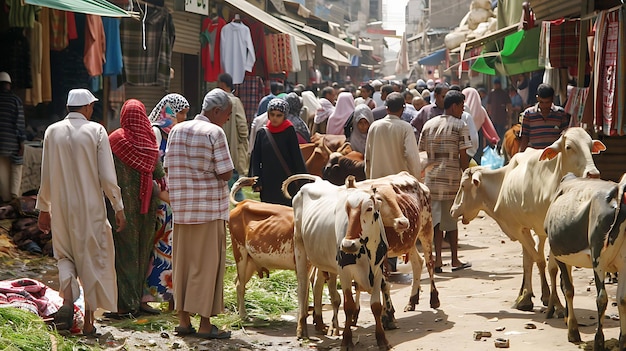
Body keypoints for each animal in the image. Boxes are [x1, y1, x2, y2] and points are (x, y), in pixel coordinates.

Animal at [448, 129, 604, 314]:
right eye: (569, 147)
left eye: (463, 186)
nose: (452, 210)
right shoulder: (521, 228)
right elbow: (534, 261)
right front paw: (531, 297)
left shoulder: (542, 232)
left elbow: (549, 265)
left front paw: (556, 303)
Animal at [544, 175, 624, 350]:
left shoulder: (560, 255)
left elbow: (568, 289)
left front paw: (572, 330)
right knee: (622, 298)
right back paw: (623, 341)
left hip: (598, 258)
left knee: (601, 298)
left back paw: (598, 341)